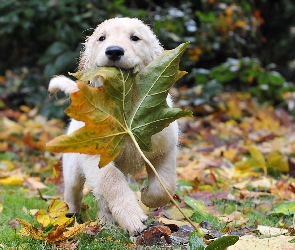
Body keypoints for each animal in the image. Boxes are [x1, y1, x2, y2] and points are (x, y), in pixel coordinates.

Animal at [48, 17, 178, 234]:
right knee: (74, 192)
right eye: (102, 38)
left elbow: (164, 186)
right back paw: (72, 216)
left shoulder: (165, 148)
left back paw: (106, 221)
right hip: (73, 167)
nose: (114, 51)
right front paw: (132, 217)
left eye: (135, 38)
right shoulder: (97, 157)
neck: (125, 107)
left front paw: (147, 196)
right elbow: (112, 182)